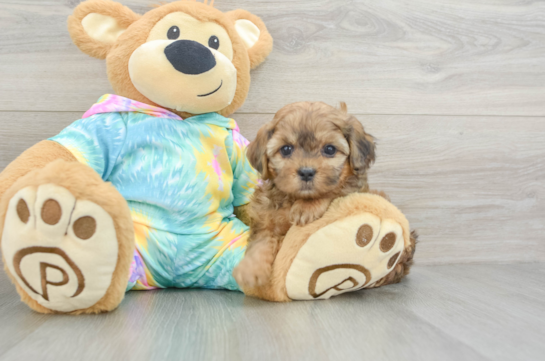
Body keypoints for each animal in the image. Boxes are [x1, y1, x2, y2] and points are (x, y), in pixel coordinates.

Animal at [232, 101, 376, 290]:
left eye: (330, 149)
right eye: (286, 149)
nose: (306, 172)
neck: (294, 198)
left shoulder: (353, 189)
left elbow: (334, 189)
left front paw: (306, 207)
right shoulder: (265, 218)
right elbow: (261, 241)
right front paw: (251, 268)